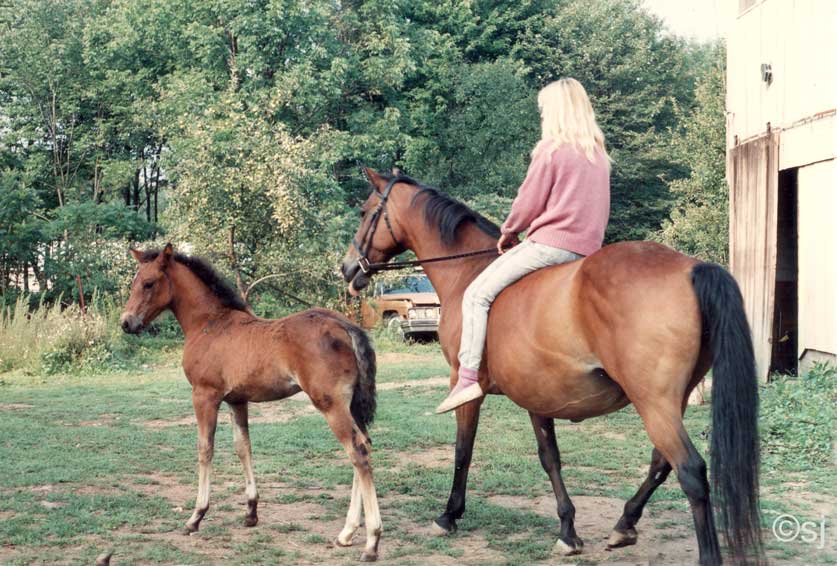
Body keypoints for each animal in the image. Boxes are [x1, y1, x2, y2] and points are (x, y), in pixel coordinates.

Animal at [120, 244, 382, 562]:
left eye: (148, 283)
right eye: (134, 282)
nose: (126, 322)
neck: (210, 324)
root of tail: (344, 325)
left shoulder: (204, 395)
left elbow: (205, 449)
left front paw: (196, 516)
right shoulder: (237, 400)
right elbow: (243, 447)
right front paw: (251, 512)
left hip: (331, 405)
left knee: (357, 451)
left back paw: (371, 541)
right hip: (351, 405)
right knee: (365, 444)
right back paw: (347, 533)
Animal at [341, 169, 762, 565]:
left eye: (363, 212)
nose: (347, 269)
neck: (468, 271)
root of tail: (691, 268)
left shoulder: (466, 386)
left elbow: (463, 449)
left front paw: (449, 515)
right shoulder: (537, 396)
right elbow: (550, 457)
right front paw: (568, 530)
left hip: (653, 402)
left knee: (690, 471)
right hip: (672, 400)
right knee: (662, 463)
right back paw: (624, 524)